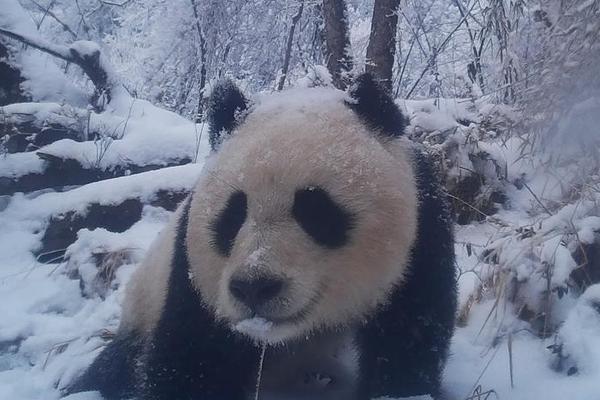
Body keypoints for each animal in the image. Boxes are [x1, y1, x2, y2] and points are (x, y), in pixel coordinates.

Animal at [68, 74, 458, 400]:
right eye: (233, 214)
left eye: (315, 210)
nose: (255, 287)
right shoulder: (195, 274)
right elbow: (193, 356)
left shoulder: (420, 238)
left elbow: (408, 337)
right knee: (114, 369)